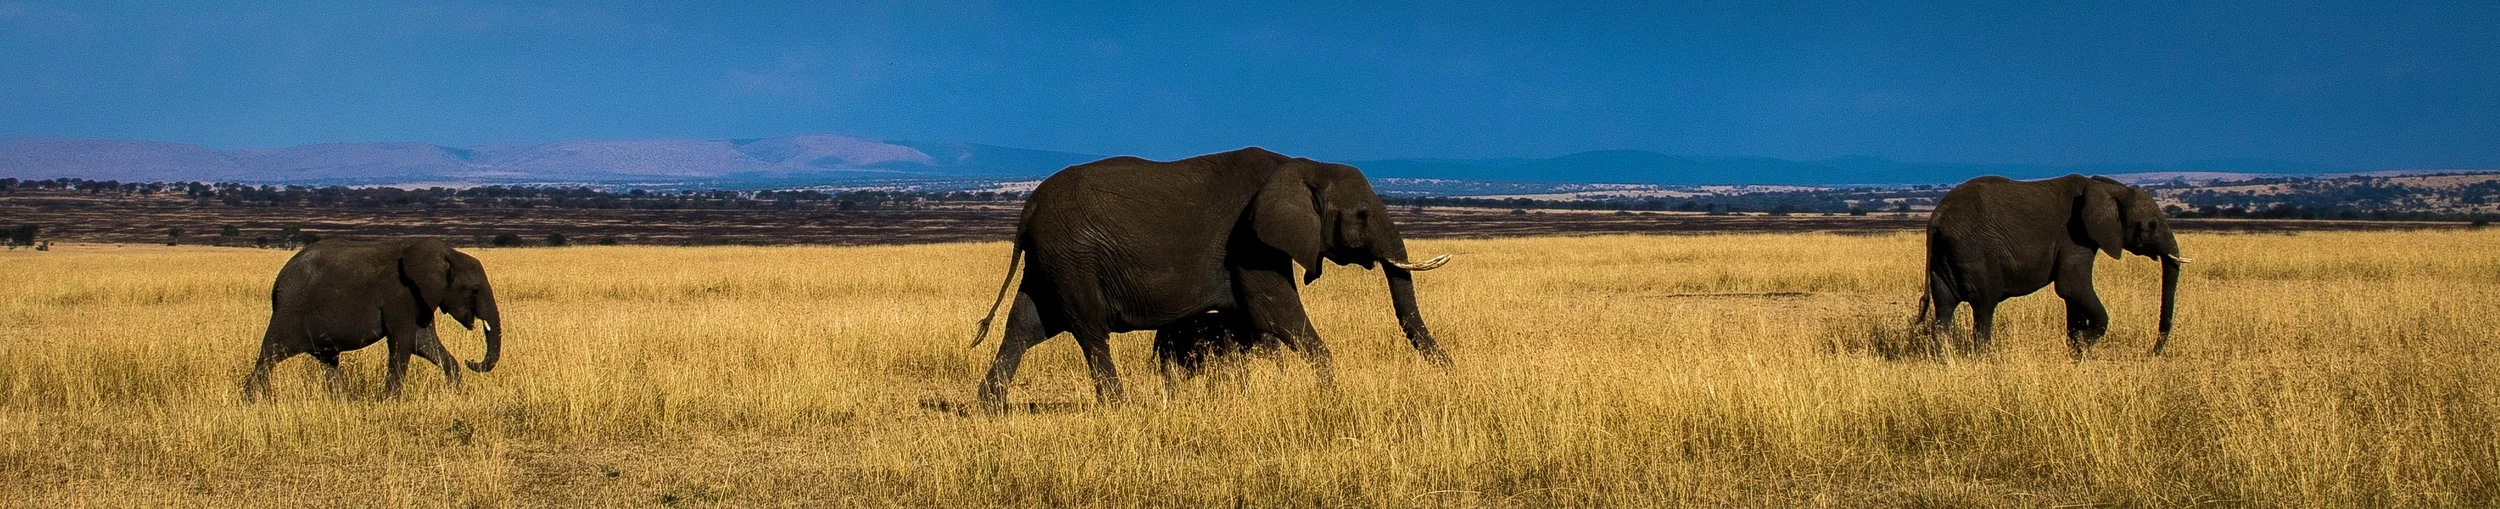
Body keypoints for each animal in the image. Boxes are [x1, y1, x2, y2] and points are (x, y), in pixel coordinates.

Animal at [241, 238, 503, 401]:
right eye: (474, 289)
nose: (471, 361)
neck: (446, 253)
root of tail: (278, 282)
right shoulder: (400, 295)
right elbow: (402, 343)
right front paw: (389, 401)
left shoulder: (421, 298)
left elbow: (423, 343)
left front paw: (453, 391)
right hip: (290, 311)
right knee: (270, 355)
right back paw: (254, 400)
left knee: (328, 362)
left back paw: (344, 403)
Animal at [969, 147, 1453, 412]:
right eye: (1362, 215)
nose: (1453, 373)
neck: (1303, 166)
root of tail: (1028, 209)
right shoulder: (1250, 241)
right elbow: (1277, 313)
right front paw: (1331, 394)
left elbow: (1253, 325)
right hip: (1074, 258)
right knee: (1088, 330)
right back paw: (1120, 407)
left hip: (1052, 261)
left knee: (1025, 326)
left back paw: (988, 407)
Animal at [1916, 174, 2189, 359]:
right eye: (2151, 225)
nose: (2151, 353)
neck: (2108, 187)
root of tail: (1936, 218)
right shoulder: (2074, 236)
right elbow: (2071, 287)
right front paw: (2084, 342)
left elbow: (2072, 297)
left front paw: (2077, 352)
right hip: (1973, 253)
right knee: (1984, 306)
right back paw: (1984, 359)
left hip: (1943, 258)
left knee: (1944, 309)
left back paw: (1944, 361)